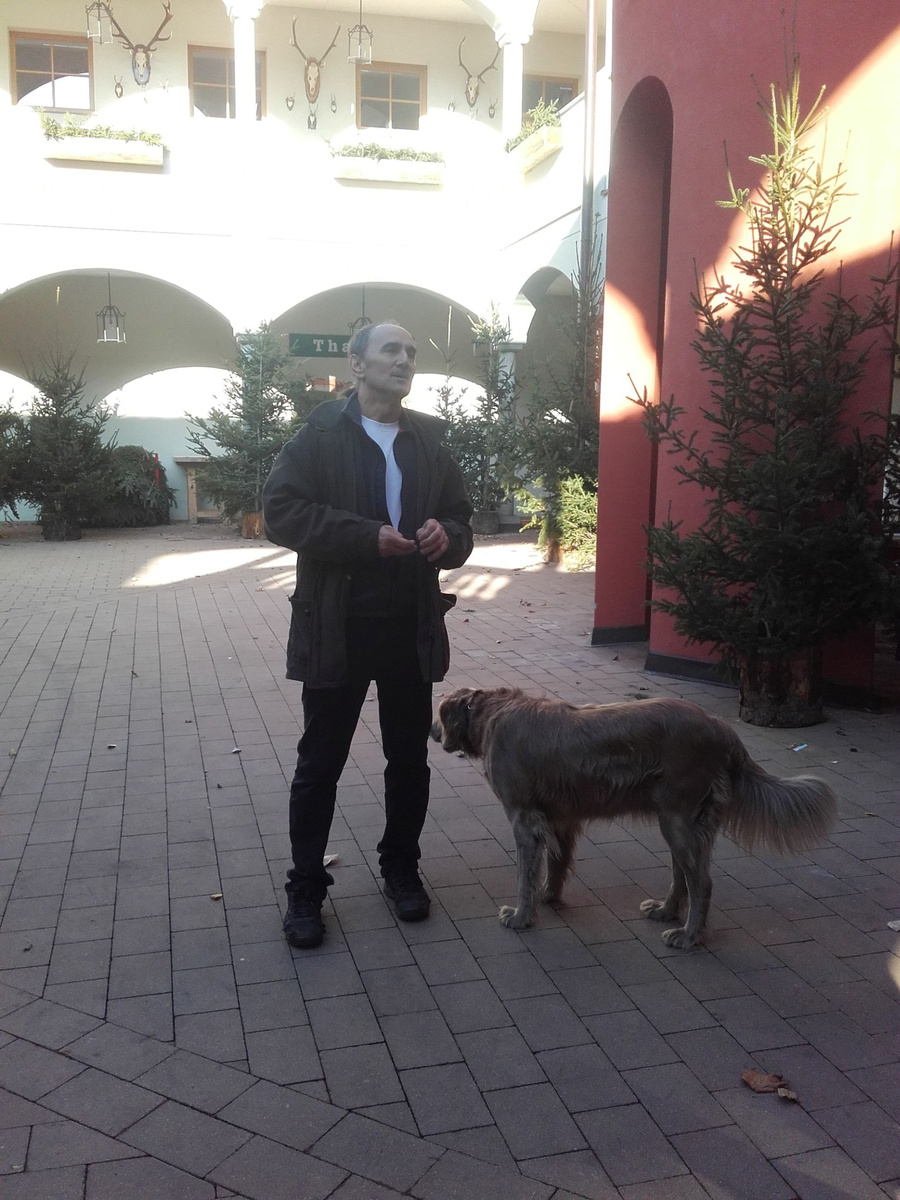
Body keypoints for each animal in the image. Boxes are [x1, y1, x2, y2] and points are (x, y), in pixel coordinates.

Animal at [430, 687, 836, 949]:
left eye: (436, 714)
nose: (432, 731)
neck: (492, 714)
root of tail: (722, 728)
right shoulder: (560, 818)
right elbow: (556, 863)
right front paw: (549, 896)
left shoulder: (523, 819)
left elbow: (523, 875)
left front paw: (520, 916)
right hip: (681, 822)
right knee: (683, 877)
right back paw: (666, 912)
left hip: (677, 821)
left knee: (701, 883)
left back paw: (688, 937)